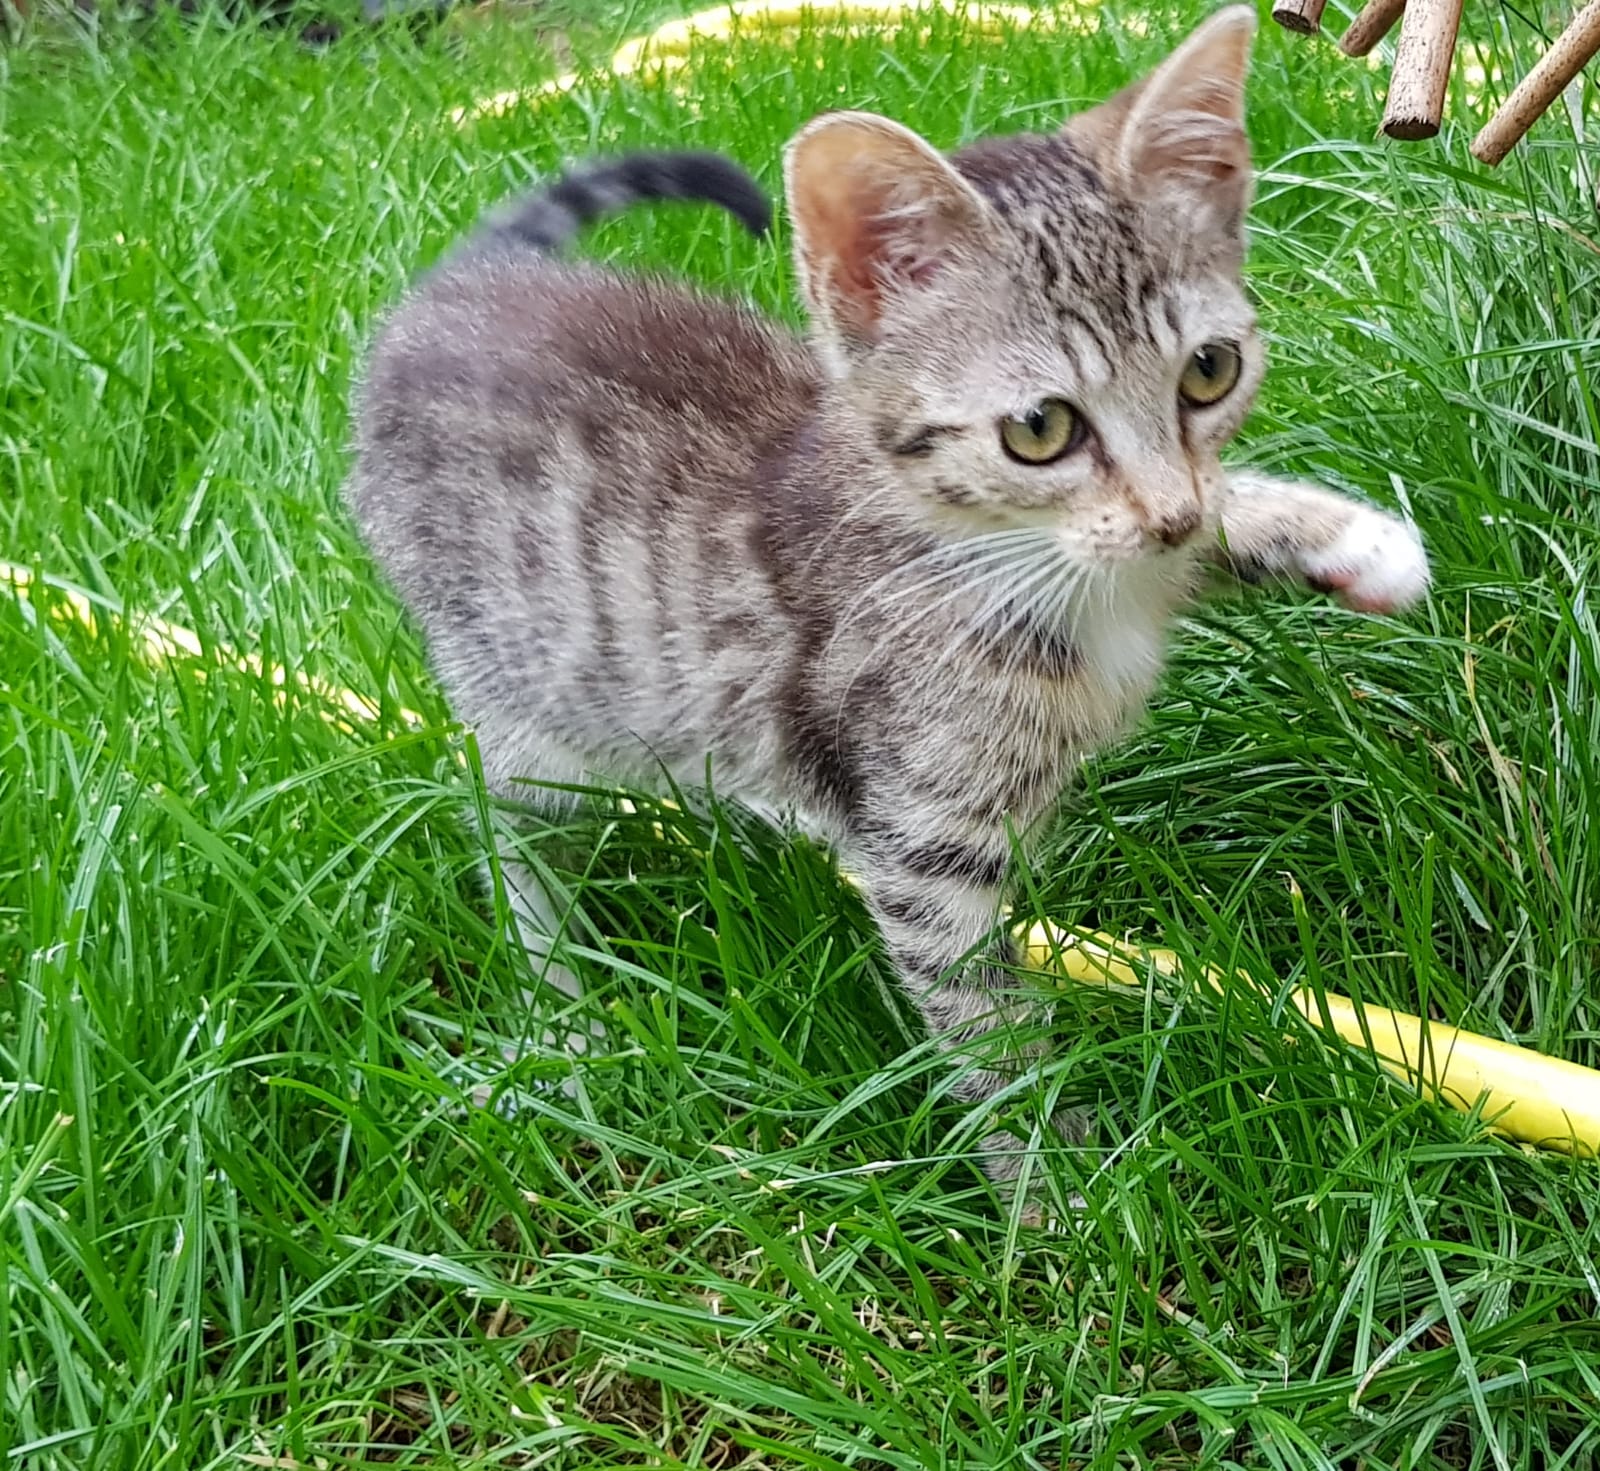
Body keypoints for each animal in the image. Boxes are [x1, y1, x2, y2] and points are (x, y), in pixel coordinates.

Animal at [344, 5, 1429, 1203]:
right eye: (1040, 429)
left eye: (1209, 371)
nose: (1170, 513)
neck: (989, 550)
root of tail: (449, 292)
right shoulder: (923, 847)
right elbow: (984, 1027)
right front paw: (1058, 1191)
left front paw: (1347, 540)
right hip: (535, 710)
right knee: (495, 809)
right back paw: (558, 998)